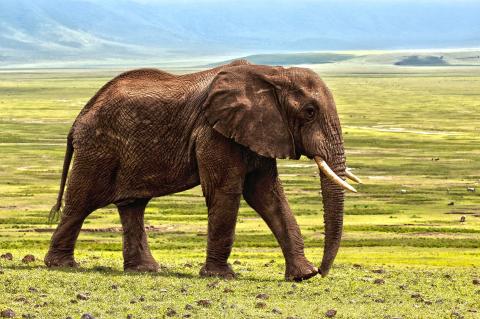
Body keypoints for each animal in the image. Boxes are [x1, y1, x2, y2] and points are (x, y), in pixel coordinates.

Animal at [45, 58, 360, 282]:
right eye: (309, 111)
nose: (323, 271)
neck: (272, 73)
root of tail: (78, 118)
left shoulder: (257, 132)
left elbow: (267, 196)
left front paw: (302, 276)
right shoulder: (213, 133)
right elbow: (226, 192)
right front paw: (221, 277)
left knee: (133, 205)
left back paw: (145, 270)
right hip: (97, 148)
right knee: (81, 201)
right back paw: (62, 265)